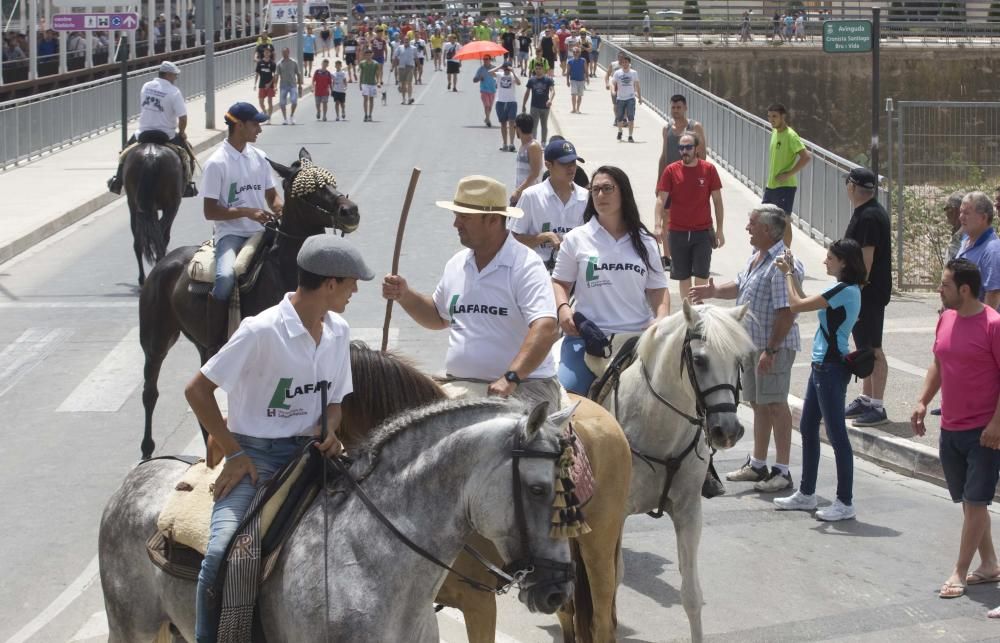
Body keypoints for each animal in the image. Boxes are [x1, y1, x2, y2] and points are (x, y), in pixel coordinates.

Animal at [124, 142, 185, 286]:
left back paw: (142, 278)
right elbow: (165, 236)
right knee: (159, 237)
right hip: (172, 205)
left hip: (134, 206)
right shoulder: (170, 207)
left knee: (138, 241)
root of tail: (151, 155)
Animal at [139, 148, 360, 460]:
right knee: (150, 391)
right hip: (156, 340)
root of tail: (162, 263)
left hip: (203, 345)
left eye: (332, 182)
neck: (285, 269)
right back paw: (147, 449)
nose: (350, 211)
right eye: (310, 191)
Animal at [604, 302, 752, 643]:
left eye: (739, 360)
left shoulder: (688, 511)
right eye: (699, 360)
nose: (728, 431)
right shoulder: (617, 512)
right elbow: (613, 578)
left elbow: (691, 595)